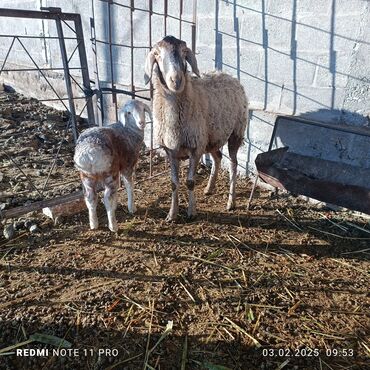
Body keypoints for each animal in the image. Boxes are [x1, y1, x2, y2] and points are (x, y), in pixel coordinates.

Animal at [73, 99, 152, 230]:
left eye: (143, 109)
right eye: (129, 112)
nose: (141, 123)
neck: (128, 131)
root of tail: (89, 151)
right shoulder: (127, 165)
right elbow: (129, 186)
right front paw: (132, 208)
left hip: (86, 175)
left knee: (90, 197)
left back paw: (93, 224)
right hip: (110, 173)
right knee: (108, 198)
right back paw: (113, 226)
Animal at [145, 36, 249, 221]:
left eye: (184, 52)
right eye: (157, 54)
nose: (176, 80)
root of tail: (226, 73)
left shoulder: (195, 148)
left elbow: (190, 182)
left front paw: (191, 212)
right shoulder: (171, 151)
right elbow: (173, 183)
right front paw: (172, 214)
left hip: (236, 132)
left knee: (233, 164)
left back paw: (231, 201)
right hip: (212, 137)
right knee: (218, 157)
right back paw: (209, 188)